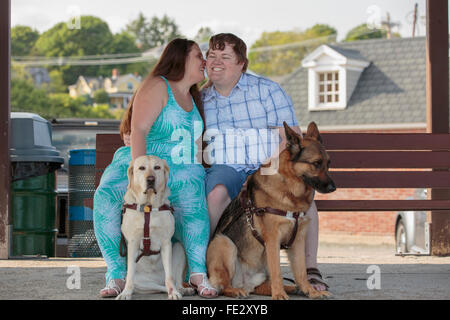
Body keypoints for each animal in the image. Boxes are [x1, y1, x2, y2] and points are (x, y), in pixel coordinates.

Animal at [206, 121, 336, 298]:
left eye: (328, 163)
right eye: (316, 163)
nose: (333, 188)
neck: (289, 189)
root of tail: (245, 283)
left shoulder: (298, 240)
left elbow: (301, 271)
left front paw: (310, 291)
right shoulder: (273, 239)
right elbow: (277, 272)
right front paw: (279, 295)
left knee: (260, 286)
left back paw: (291, 288)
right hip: (224, 242)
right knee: (223, 285)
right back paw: (235, 290)